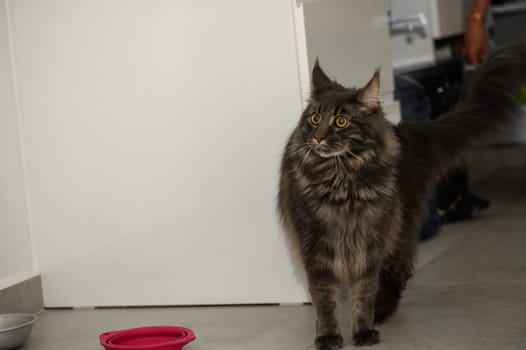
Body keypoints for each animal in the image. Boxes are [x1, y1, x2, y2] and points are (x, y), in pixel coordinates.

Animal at [278, 44, 526, 348]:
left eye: (341, 121)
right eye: (314, 118)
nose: (318, 138)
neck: (343, 180)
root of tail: (403, 130)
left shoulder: (371, 242)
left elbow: (363, 292)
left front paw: (363, 330)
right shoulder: (315, 247)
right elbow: (324, 299)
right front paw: (327, 336)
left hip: (400, 226)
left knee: (398, 271)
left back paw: (381, 311)